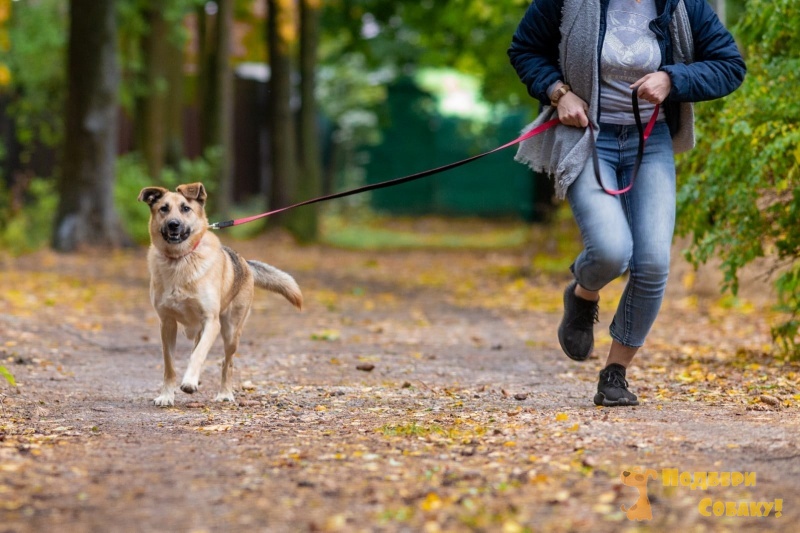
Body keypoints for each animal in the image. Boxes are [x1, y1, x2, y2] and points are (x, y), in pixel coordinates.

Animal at [139, 181, 302, 406]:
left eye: (185, 208)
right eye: (164, 208)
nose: (173, 224)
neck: (181, 260)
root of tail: (245, 263)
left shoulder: (211, 321)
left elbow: (198, 355)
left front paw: (189, 382)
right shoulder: (167, 323)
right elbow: (170, 365)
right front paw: (166, 395)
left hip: (231, 331)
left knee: (227, 362)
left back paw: (224, 393)